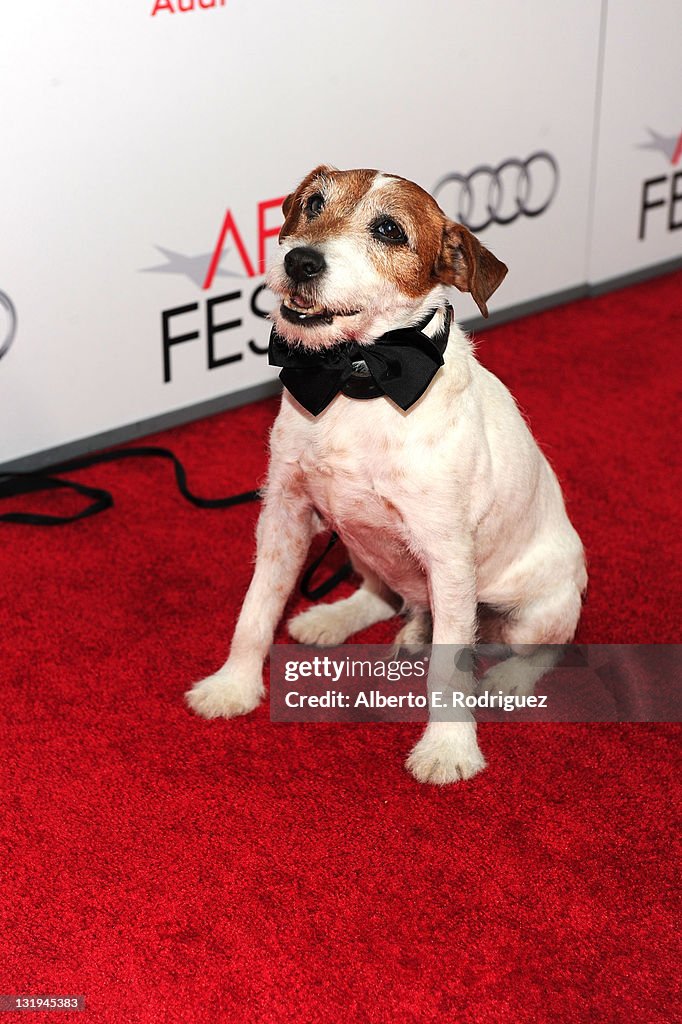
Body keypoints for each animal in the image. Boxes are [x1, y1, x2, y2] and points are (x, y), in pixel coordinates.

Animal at [186, 167, 585, 786]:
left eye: (390, 230)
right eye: (313, 204)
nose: (300, 261)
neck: (358, 379)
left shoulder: (448, 556)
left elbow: (450, 668)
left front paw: (448, 748)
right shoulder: (284, 517)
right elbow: (256, 611)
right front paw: (234, 686)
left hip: (534, 611)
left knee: (541, 648)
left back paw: (508, 680)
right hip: (359, 543)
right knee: (385, 594)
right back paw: (337, 617)